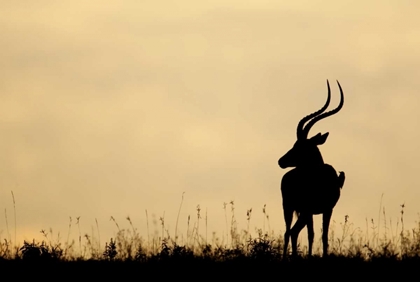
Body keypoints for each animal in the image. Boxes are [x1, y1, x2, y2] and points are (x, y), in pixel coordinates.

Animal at [278, 79, 344, 258]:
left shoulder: (327, 209)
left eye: (300, 146)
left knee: (293, 232)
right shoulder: (308, 210)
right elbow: (311, 234)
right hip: (288, 208)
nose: (281, 161)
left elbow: (324, 235)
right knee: (287, 232)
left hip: (301, 213)